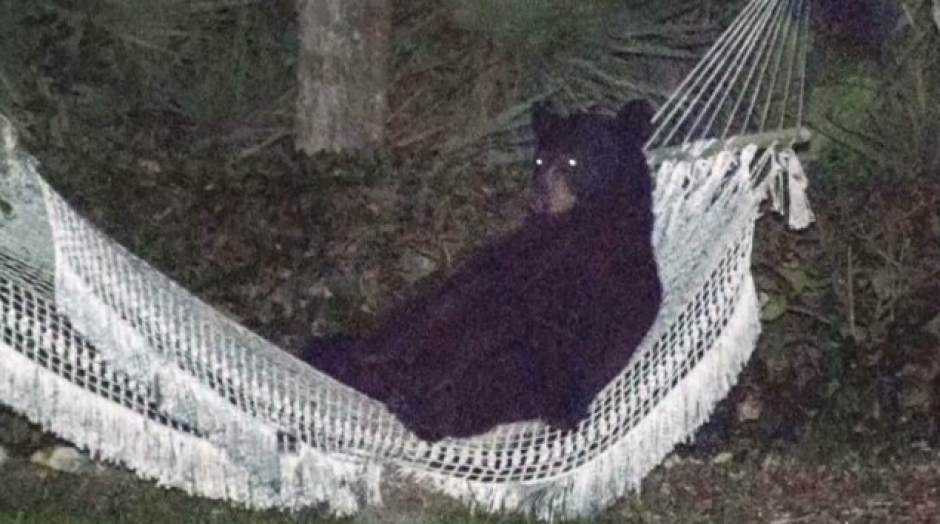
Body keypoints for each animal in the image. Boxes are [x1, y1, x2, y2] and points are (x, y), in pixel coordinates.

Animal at [302, 99, 663, 442]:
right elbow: (457, 304)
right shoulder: (510, 260)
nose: (539, 198)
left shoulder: (593, 284)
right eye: (539, 161)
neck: (582, 225)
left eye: (573, 161)